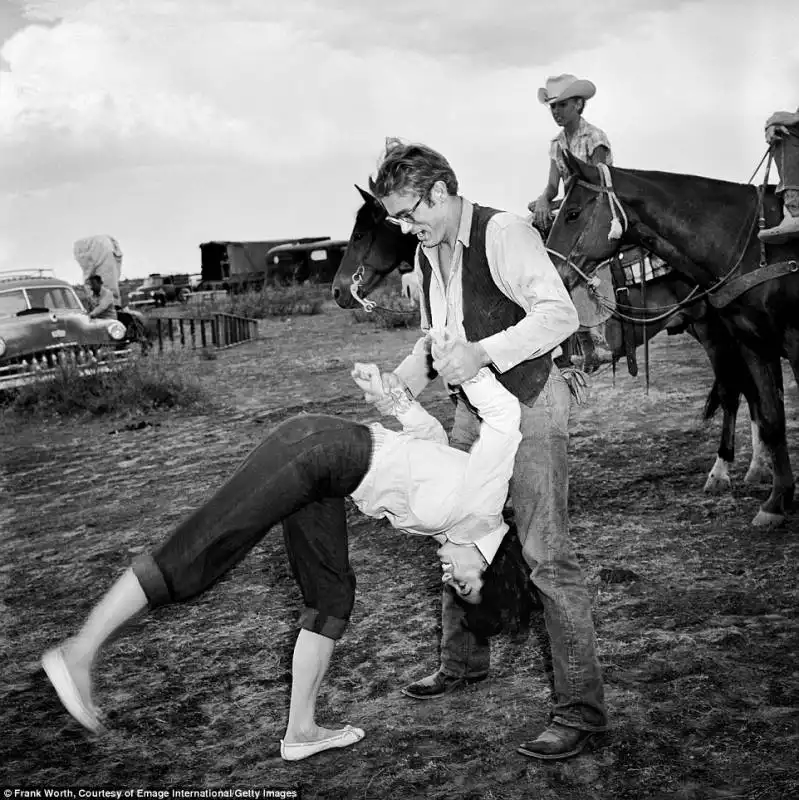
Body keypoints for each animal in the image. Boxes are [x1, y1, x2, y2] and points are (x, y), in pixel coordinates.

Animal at [332, 189, 776, 500]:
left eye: (360, 232)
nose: (338, 291)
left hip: (716, 330)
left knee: (737, 390)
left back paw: (728, 470)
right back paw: (757, 466)